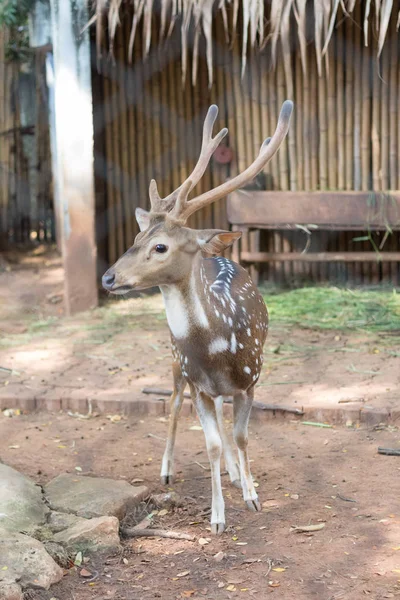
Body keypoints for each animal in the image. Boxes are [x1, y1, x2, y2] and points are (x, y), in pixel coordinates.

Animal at [101, 99, 292, 536]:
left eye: (159, 246)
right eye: (134, 239)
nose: (108, 277)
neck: (216, 348)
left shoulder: (251, 379)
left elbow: (239, 437)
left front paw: (252, 494)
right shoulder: (197, 381)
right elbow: (212, 444)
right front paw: (217, 518)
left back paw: (236, 476)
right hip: (176, 364)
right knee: (172, 404)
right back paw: (168, 470)